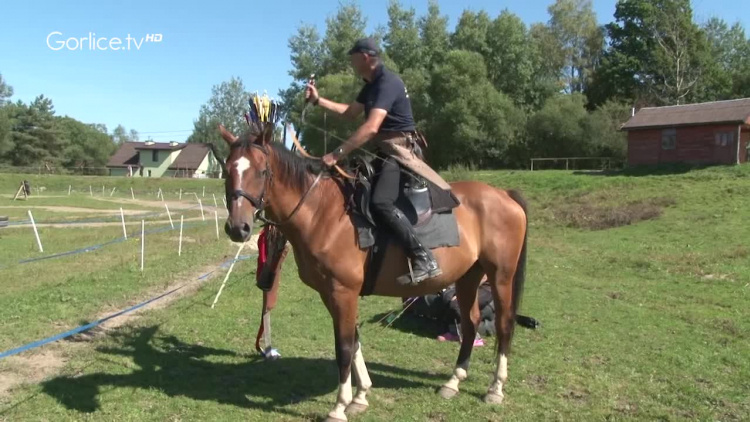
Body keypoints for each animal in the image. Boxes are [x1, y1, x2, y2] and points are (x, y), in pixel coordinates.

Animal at [220, 123, 532, 422]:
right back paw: (453, 382)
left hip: (500, 276)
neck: (322, 213)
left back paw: (495, 388)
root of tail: (504, 195)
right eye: (227, 170)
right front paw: (360, 397)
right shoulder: (329, 293)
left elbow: (344, 347)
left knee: (504, 324)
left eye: (261, 171)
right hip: (469, 276)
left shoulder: (343, 292)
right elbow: (354, 340)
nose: (238, 228)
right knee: (470, 322)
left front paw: (340, 407)